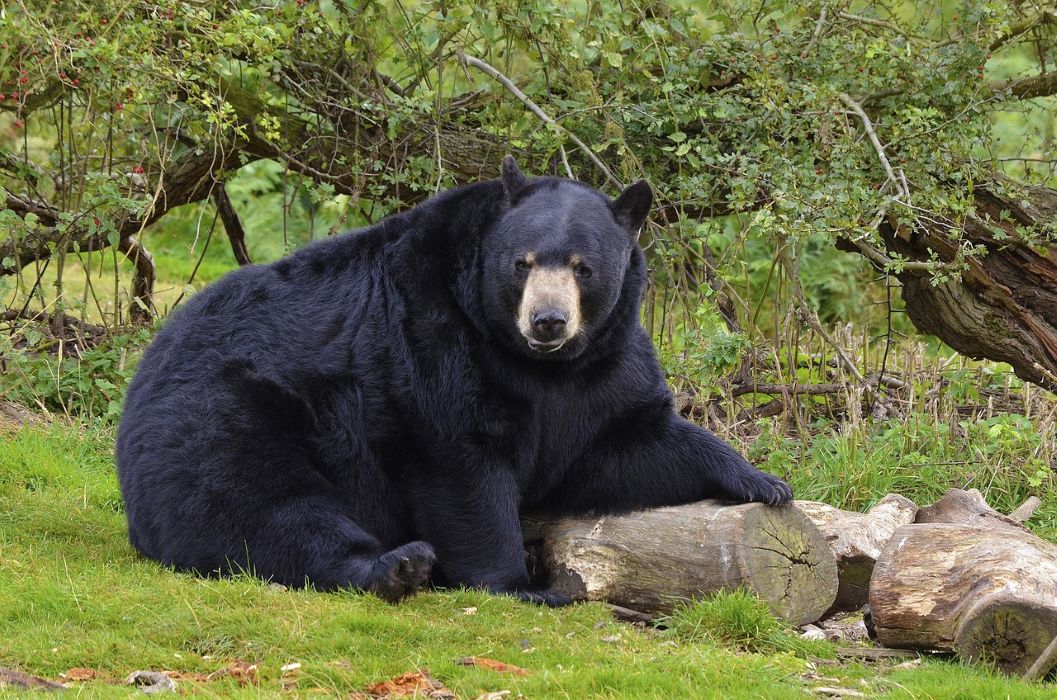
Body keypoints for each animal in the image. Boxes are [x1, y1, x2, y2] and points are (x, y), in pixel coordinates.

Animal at [116, 156, 792, 605]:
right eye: (522, 262)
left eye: (584, 267)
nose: (548, 321)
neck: (534, 363)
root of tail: (143, 376)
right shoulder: (431, 339)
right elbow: (462, 465)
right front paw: (521, 584)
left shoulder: (600, 369)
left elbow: (615, 447)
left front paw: (763, 482)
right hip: (228, 415)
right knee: (263, 505)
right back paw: (396, 566)